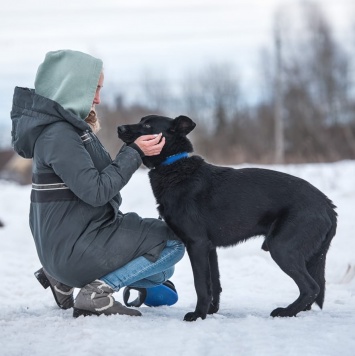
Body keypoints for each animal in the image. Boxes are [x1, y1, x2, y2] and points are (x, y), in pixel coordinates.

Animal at [118, 115, 338, 322]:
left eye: (147, 125)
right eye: (140, 120)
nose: (119, 128)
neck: (173, 164)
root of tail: (328, 205)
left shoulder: (197, 244)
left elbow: (201, 285)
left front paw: (198, 315)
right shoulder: (209, 248)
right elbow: (214, 283)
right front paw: (211, 311)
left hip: (281, 248)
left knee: (311, 287)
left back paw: (285, 312)